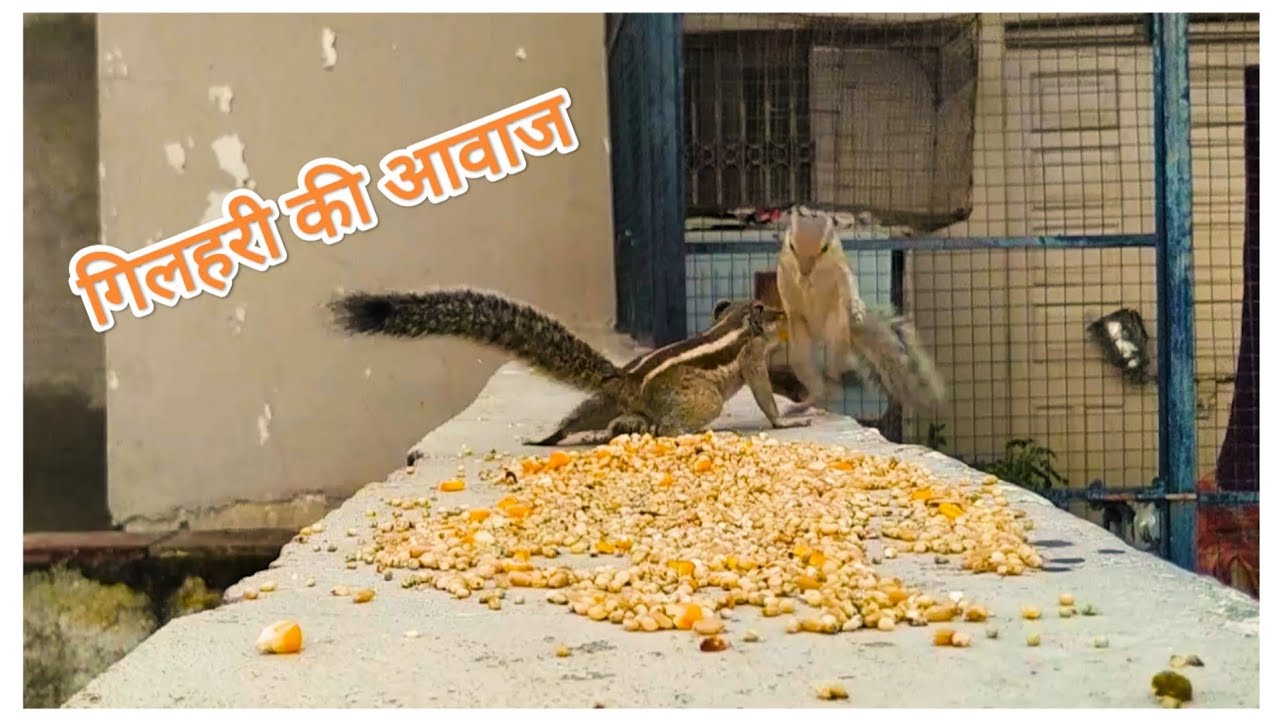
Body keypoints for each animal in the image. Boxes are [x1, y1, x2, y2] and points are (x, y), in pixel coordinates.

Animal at [327, 288, 812, 445]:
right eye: (771, 311)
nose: (787, 315)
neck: (733, 325)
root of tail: (628, 381)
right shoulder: (752, 360)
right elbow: (764, 393)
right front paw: (787, 421)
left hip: (602, 403)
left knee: (605, 421)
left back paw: (552, 438)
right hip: (701, 399)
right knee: (668, 428)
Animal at [776, 207, 946, 416]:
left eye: (824, 248)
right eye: (792, 246)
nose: (805, 273)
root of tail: (820, 335)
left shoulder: (842, 268)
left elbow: (850, 286)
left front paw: (856, 306)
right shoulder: (783, 270)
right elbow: (786, 291)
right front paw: (798, 284)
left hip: (836, 331)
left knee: (835, 373)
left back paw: (830, 389)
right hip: (800, 349)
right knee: (813, 377)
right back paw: (806, 403)